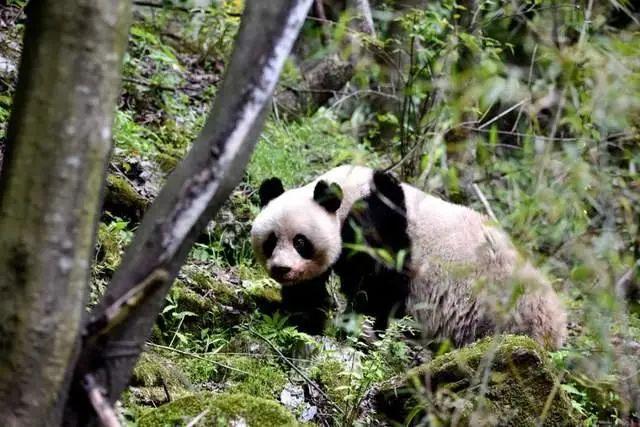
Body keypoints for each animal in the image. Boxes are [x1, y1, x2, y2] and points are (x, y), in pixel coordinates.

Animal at [250, 166, 564, 350]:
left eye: (300, 242)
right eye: (271, 241)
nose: (281, 269)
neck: (346, 192)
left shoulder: (379, 220)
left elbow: (378, 283)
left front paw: (360, 328)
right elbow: (311, 288)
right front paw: (300, 319)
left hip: (500, 305)